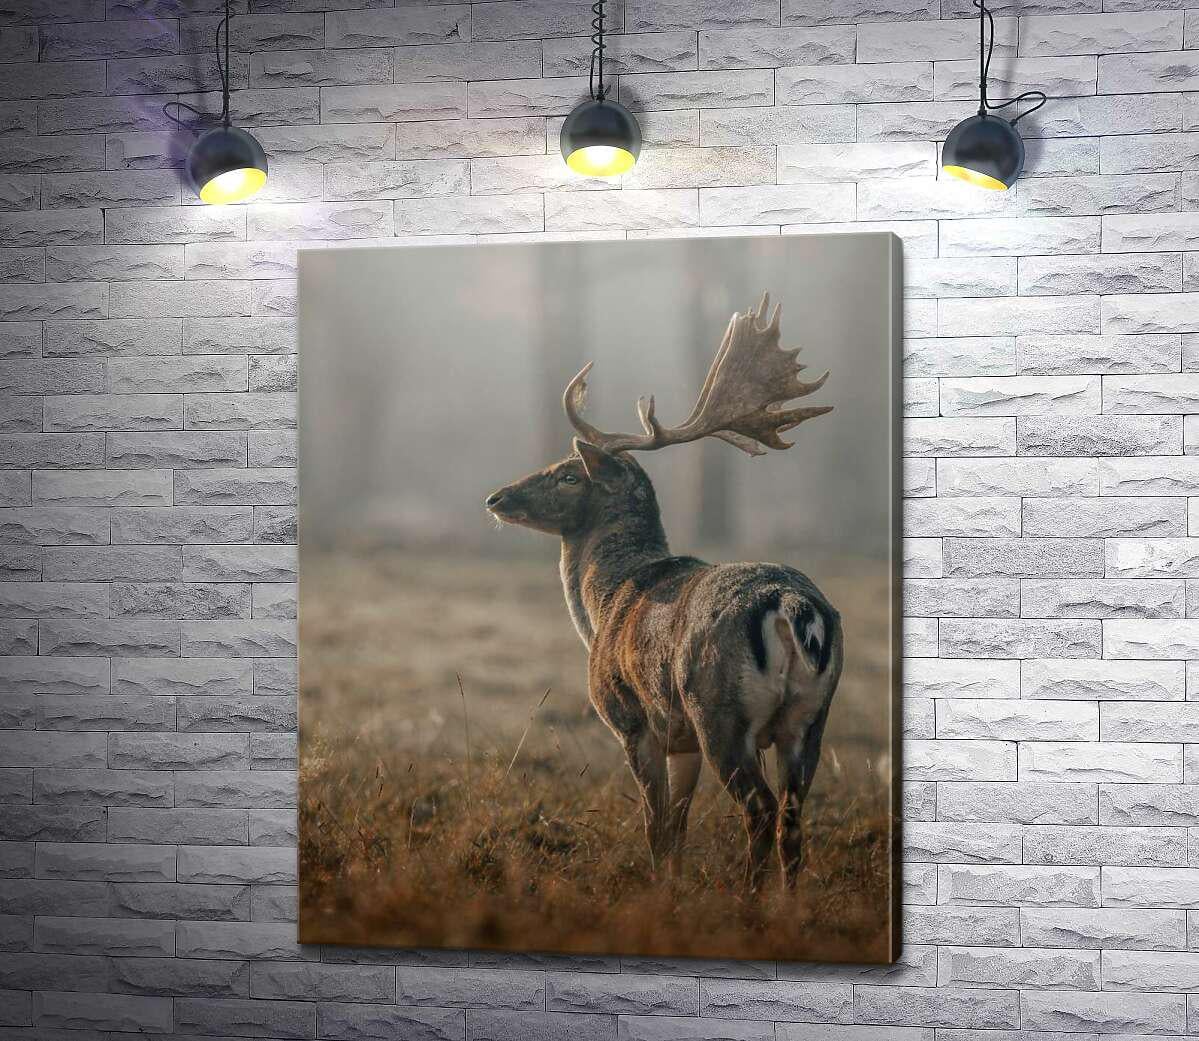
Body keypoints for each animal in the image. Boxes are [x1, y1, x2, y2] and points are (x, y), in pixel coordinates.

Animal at [484, 293, 842, 889]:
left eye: (569, 475)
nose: (496, 497)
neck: (605, 602)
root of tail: (793, 607)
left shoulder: (634, 719)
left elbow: (655, 826)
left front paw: (658, 891)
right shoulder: (682, 741)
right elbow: (677, 824)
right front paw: (673, 885)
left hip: (720, 711)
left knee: (760, 809)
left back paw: (748, 900)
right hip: (810, 719)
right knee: (792, 818)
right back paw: (788, 904)